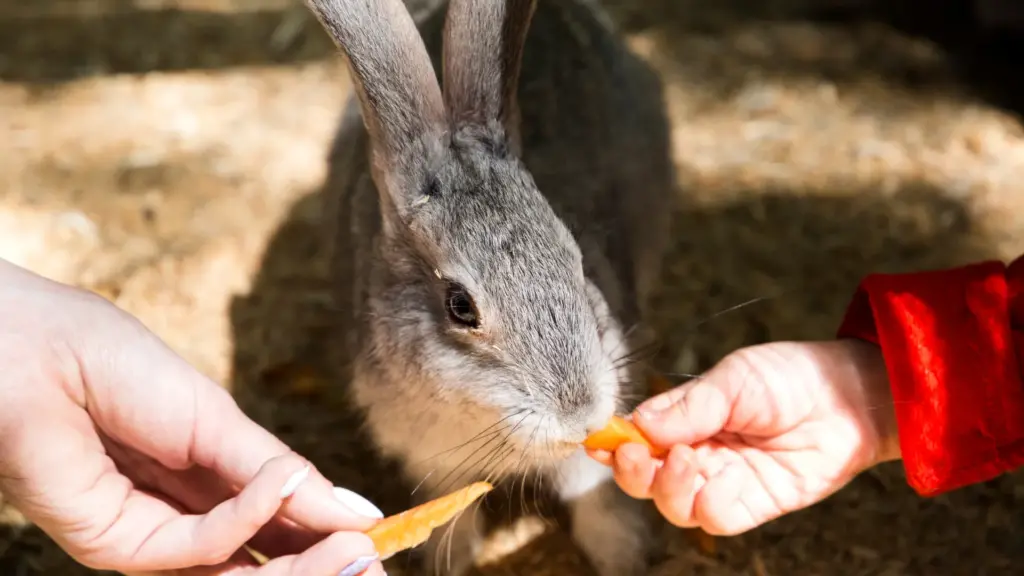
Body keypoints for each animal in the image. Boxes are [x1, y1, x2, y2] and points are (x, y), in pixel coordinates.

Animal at [307, 0, 675, 569]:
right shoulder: (433, 464)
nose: (581, 414)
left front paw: (624, 561)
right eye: (460, 306)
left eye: (577, 261)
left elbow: (597, 507)